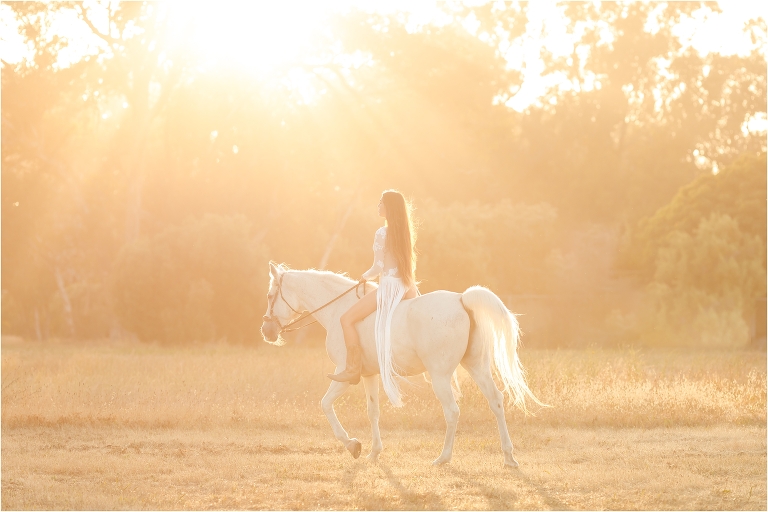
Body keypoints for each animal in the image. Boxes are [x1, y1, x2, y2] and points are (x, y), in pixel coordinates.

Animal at [260, 262, 546, 467]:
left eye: (271, 295)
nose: (267, 332)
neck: (339, 310)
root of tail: (461, 300)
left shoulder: (344, 375)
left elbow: (325, 405)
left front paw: (352, 445)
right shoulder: (370, 375)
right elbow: (373, 412)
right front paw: (373, 453)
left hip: (440, 376)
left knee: (452, 411)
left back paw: (443, 458)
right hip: (477, 367)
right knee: (496, 401)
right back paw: (509, 458)